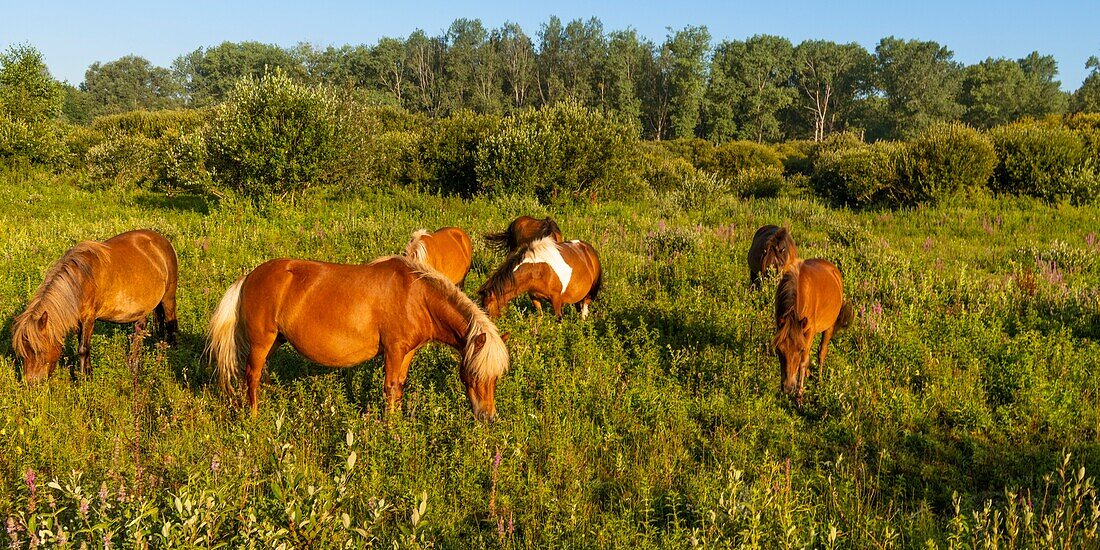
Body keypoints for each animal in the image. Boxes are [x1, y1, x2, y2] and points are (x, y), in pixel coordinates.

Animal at [12, 228, 180, 382]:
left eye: (39, 351)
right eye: (23, 352)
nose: (31, 384)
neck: (80, 280)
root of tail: (162, 241)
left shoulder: (89, 318)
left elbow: (83, 348)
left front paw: (84, 379)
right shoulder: (79, 320)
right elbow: (82, 344)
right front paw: (87, 373)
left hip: (168, 297)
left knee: (171, 323)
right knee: (139, 331)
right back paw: (133, 365)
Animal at [206, 255, 510, 418]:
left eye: (496, 378)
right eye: (475, 374)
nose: (488, 417)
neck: (417, 297)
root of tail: (249, 277)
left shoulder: (407, 352)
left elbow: (400, 386)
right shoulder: (393, 350)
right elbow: (390, 388)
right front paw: (390, 429)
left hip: (274, 341)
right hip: (262, 341)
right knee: (251, 374)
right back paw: (254, 417)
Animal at [770, 257, 853, 400]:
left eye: (799, 349)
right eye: (779, 350)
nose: (788, 388)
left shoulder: (809, 331)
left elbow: (803, 361)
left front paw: (799, 394)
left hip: (829, 327)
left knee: (822, 351)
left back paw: (819, 380)